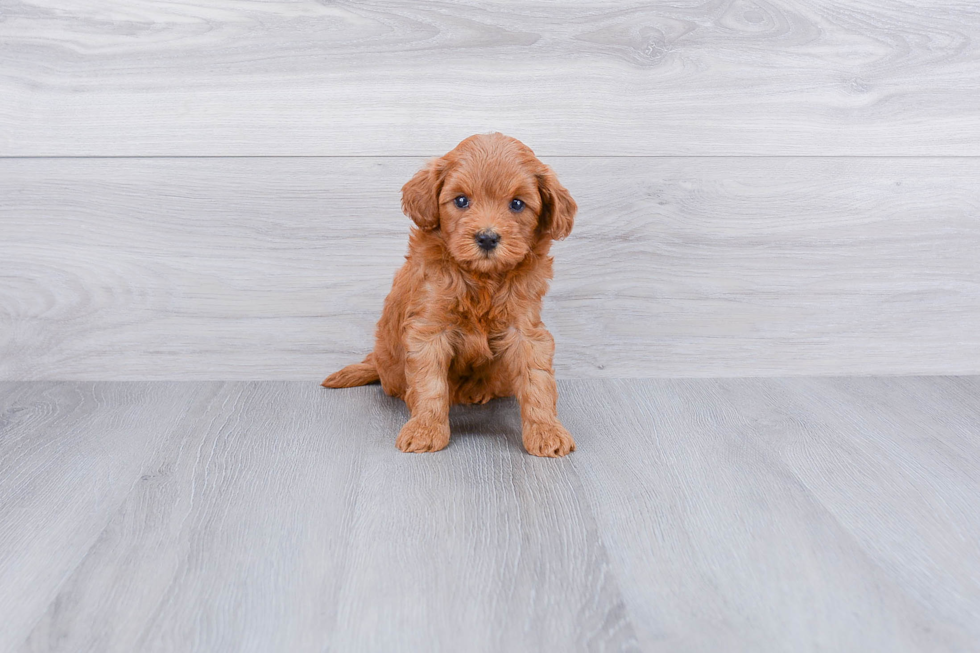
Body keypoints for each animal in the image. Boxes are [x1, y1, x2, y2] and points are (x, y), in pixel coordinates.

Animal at [326, 132, 580, 456]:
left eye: (517, 204)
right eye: (461, 200)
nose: (487, 238)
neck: (481, 279)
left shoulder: (526, 330)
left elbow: (537, 380)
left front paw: (547, 431)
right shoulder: (428, 329)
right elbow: (430, 383)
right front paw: (425, 429)